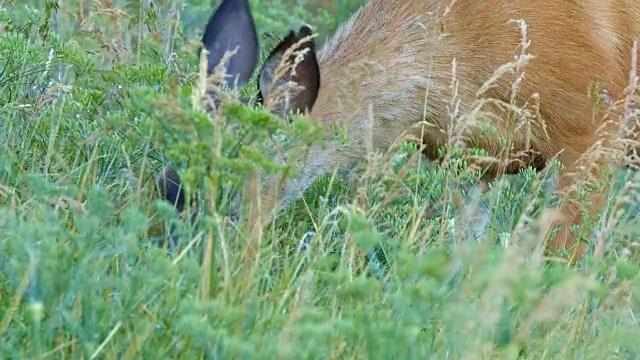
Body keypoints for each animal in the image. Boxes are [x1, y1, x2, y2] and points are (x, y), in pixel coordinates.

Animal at [159, 0, 640, 260]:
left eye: (229, 175)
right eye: (165, 181)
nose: (170, 244)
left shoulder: (595, 125)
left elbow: (561, 258)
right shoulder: (475, 163)